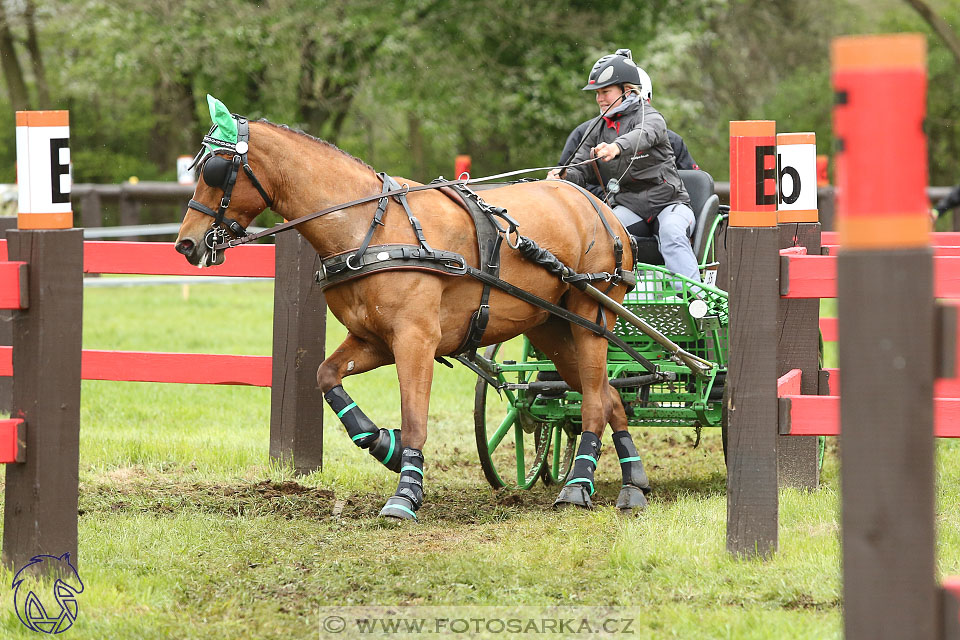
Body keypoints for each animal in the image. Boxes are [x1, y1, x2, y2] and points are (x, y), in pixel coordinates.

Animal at [176, 116, 652, 520]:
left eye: (215, 170)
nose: (185, 244)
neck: (372, 229)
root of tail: (599, 208)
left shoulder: (415, 339)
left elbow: (415, 417)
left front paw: (405, 493)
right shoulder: (373, 340)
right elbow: (326, 376)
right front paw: (384, 445)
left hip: (592, 318)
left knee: (594, 402)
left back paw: (578, 486)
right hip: (552, 328)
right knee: (609, 397)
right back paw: (633, 485)